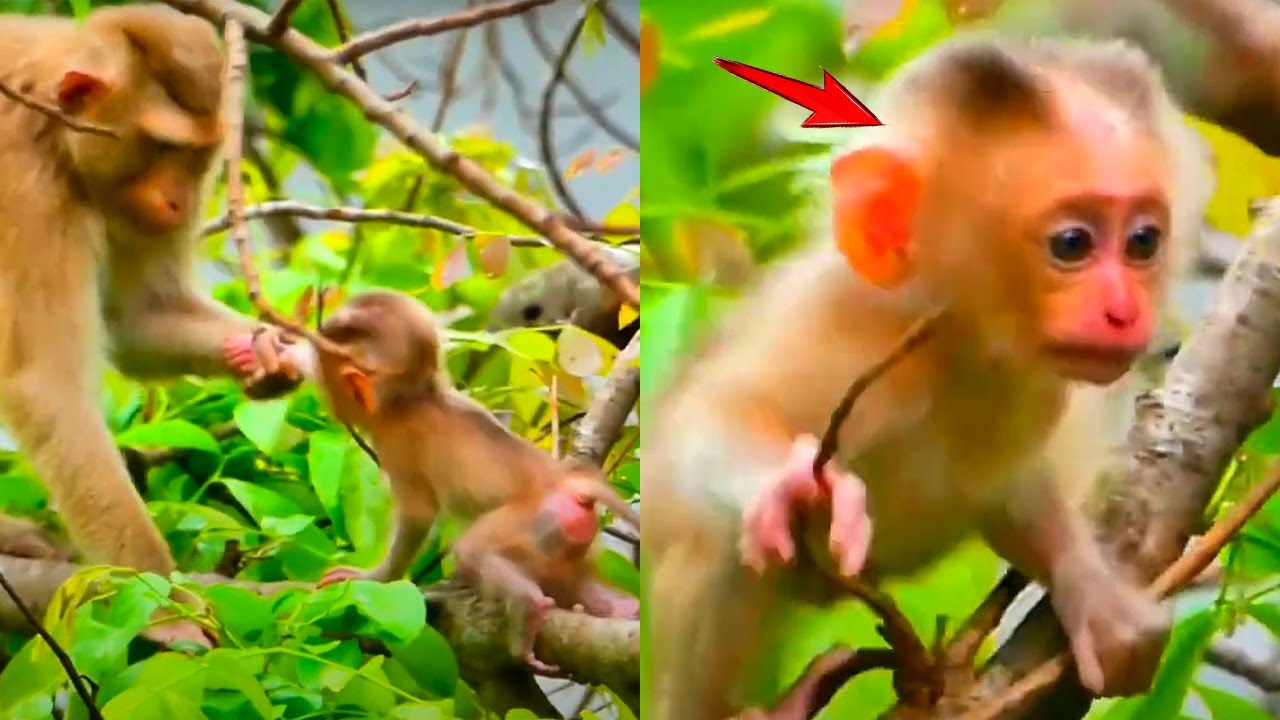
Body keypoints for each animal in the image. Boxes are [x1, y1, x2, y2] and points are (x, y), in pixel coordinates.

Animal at [0, 5, 299, 645]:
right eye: (163, 145)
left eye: (197, 156)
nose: (180, 202)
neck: (52, 133)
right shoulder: (28, 194)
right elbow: (47, 388)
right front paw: (166, 606)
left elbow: (137, 319)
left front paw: (263, 353)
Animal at [284, 290, 640, 671]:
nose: (333, 408)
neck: (414, 395)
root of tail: (566, 483)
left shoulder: (395, 440)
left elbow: (418, 514)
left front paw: (374, 577)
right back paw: (619, 608)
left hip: (534, 519)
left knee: (474, 549)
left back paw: (528, 605)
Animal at [644, 35, 1212, 720]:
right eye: (1072, 244)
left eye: (1143, 241)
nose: (1124, 311)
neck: (956, 354)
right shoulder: (842, 331)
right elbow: (707, 420)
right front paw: (782, 484)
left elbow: (1014, 494)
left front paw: (1091, 590)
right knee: (714, 539)